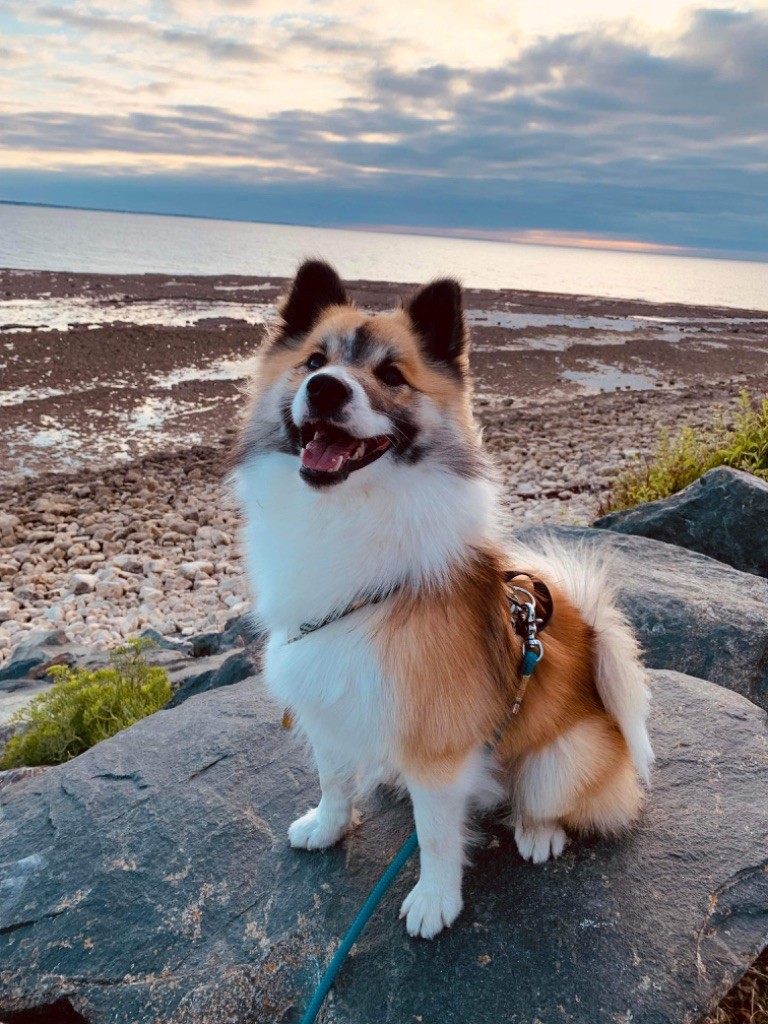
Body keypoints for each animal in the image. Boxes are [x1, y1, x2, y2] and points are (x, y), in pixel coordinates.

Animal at [233, 260, 653, 939]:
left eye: (390, 375)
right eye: (314, 360)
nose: (325, 390)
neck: (348, 516)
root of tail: (590, 633)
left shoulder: (437, 742)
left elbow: (434, 836)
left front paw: (434, 901)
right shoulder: (328, 696)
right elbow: (333, 779)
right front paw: (327, 827)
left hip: (561, 758)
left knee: (545, 800)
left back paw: (538, 832)